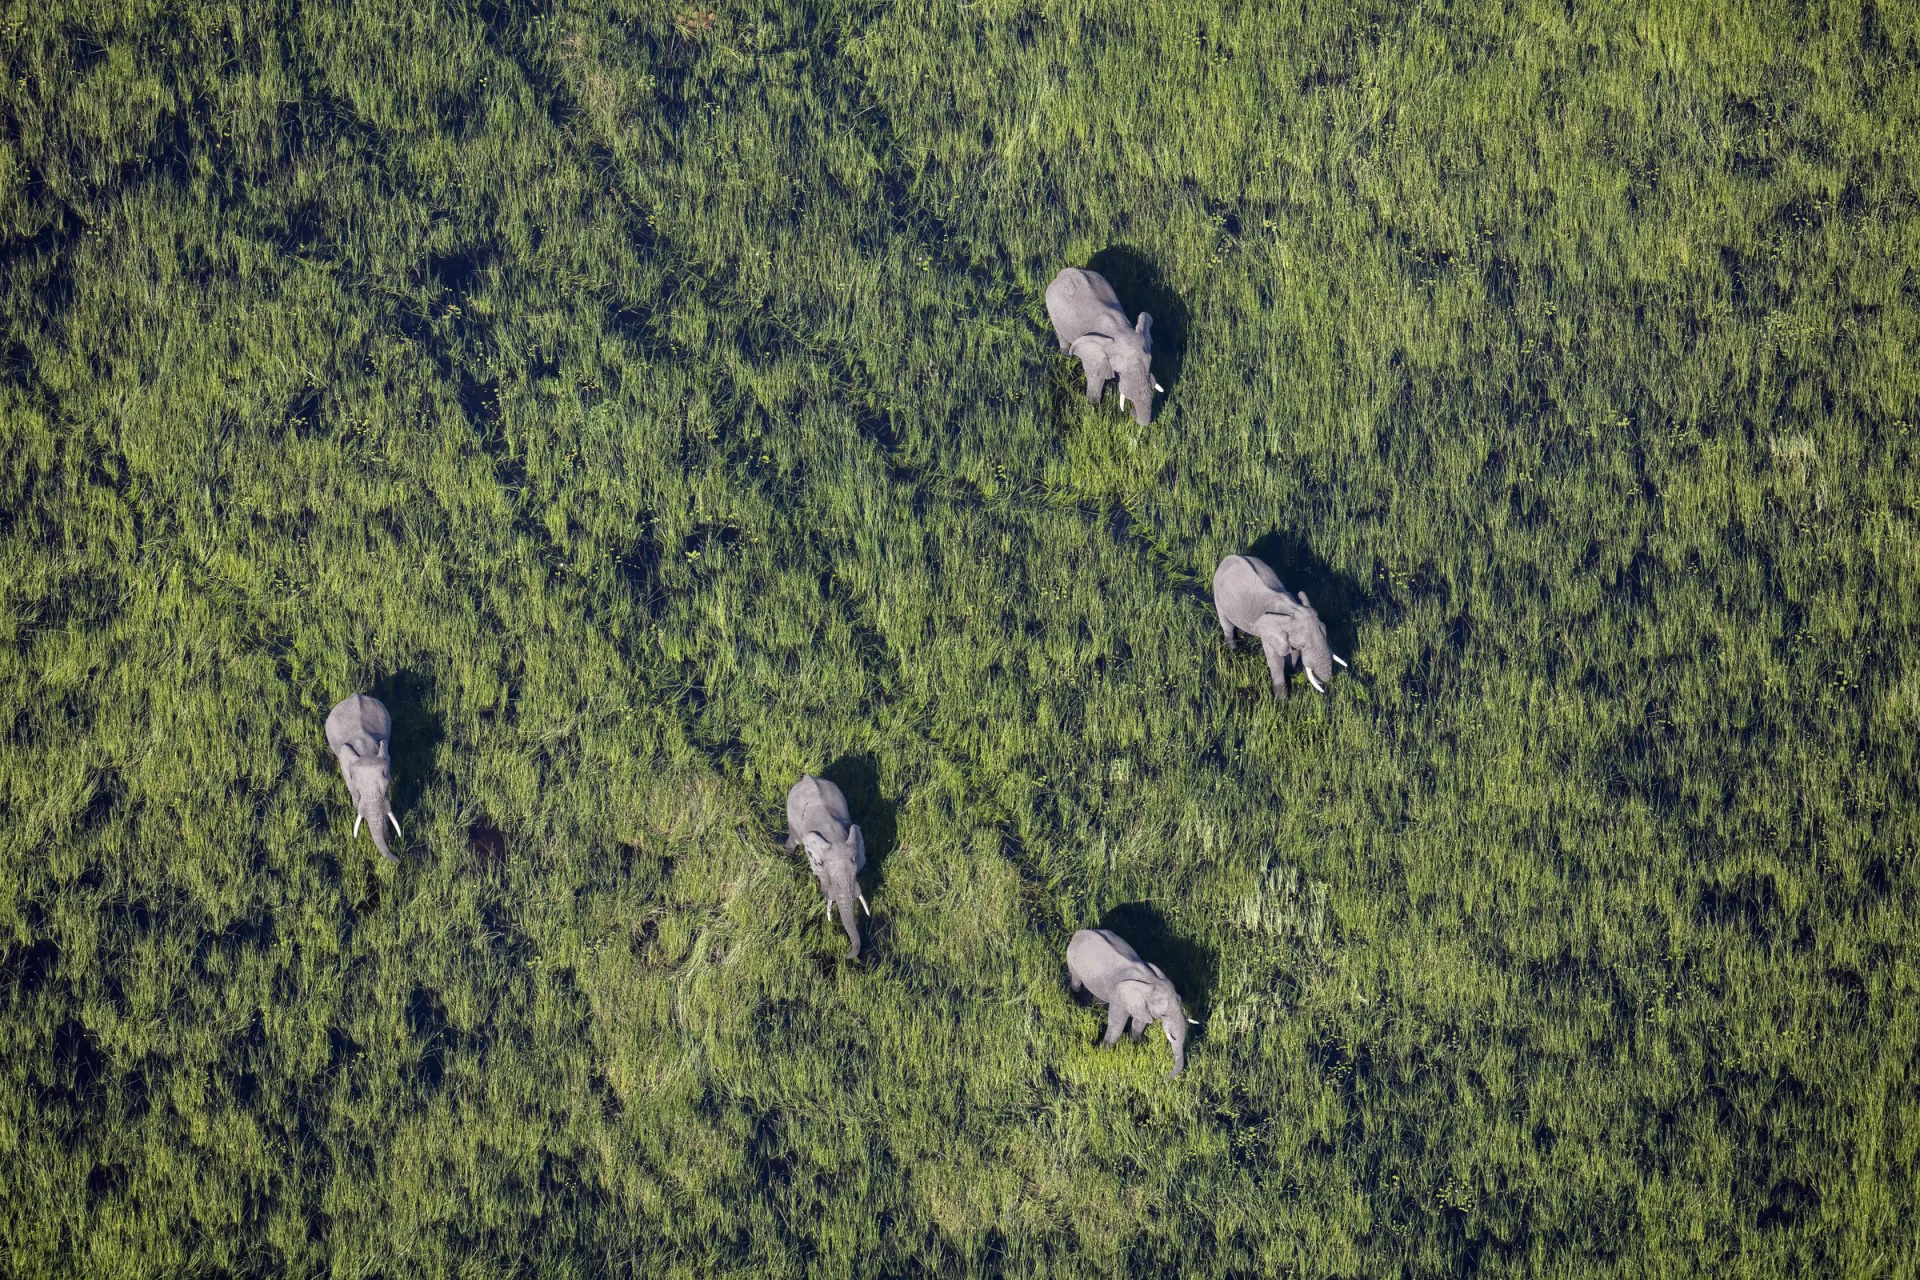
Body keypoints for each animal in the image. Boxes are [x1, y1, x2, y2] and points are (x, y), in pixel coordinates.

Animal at [325, 693, 400, 862]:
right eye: (359, 789)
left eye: (386, 786)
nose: (399, 859)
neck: (366, 751)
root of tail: (355, 695)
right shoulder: (346, 768)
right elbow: (352, 790)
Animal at [785, 774, 869, 959]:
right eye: (828, 870)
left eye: (855, 869)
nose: (845, 955)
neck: (835, 835)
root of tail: (807, 777)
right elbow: (819, 872)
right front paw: (825, 893)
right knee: (795, 838)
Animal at [1045, 267, 1163, 426]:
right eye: (1119, 370)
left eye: (1150, 362)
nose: (1131, 412)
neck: (1119, 329)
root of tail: (1063, 272)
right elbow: (1096, 377)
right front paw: (1094, 405)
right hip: (1051, 307)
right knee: (1061, 335)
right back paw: (1066, 354)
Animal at [1066, 928, 1196, 1077]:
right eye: (1163, 1014)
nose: (1165, 1076)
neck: (1151, 980)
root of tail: (1081, 931)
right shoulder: (1120, 998)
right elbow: (1118, 1023)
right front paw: (1105, 1051)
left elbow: (1140, 1022)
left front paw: (1137, 1043)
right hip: (1072, 959)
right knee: (1076, 981)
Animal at [1212, 553, 1348, 699]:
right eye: (1304, 645)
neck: (1293, 608)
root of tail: (1229, 557)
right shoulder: (1268, 632)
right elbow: (1276, 662)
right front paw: (1281, 700)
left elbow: (1292, 652)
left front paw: (1290, 670)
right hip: (1217, 592)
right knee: (1227, 624)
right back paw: (1233, 649)